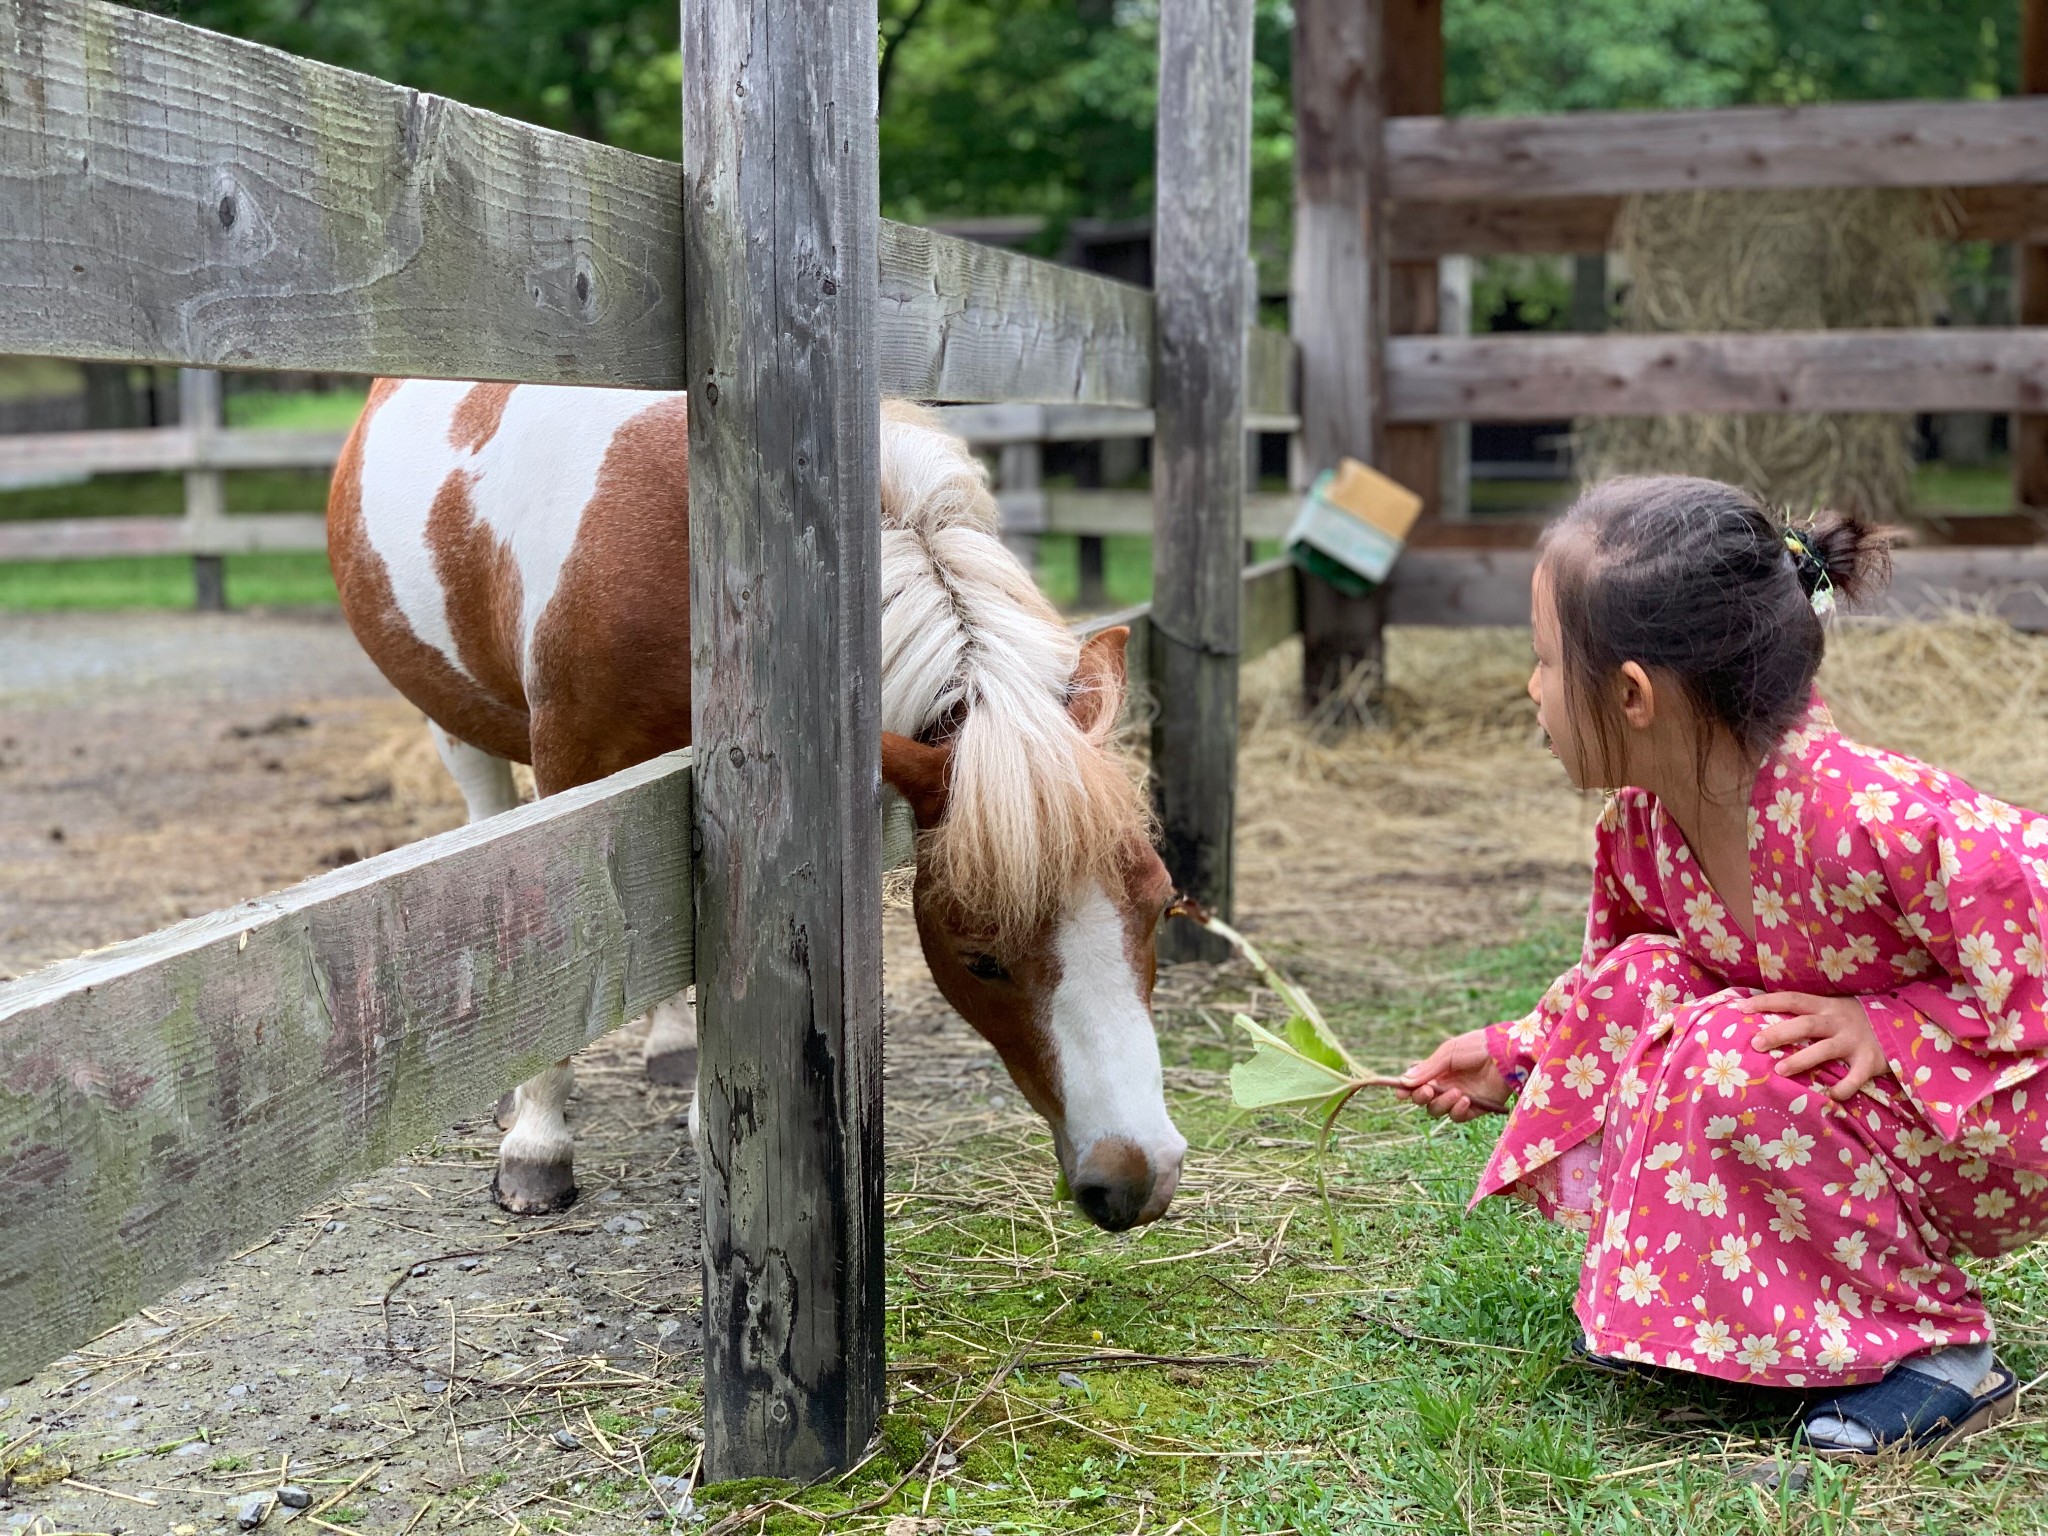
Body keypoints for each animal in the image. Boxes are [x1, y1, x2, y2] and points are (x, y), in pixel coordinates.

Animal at [329, 385, 1196, 1236]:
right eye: (980, 956)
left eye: (1159, 907)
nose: (1137, 1177)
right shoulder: (569, 764)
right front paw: (537, 1145)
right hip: (457, 722)